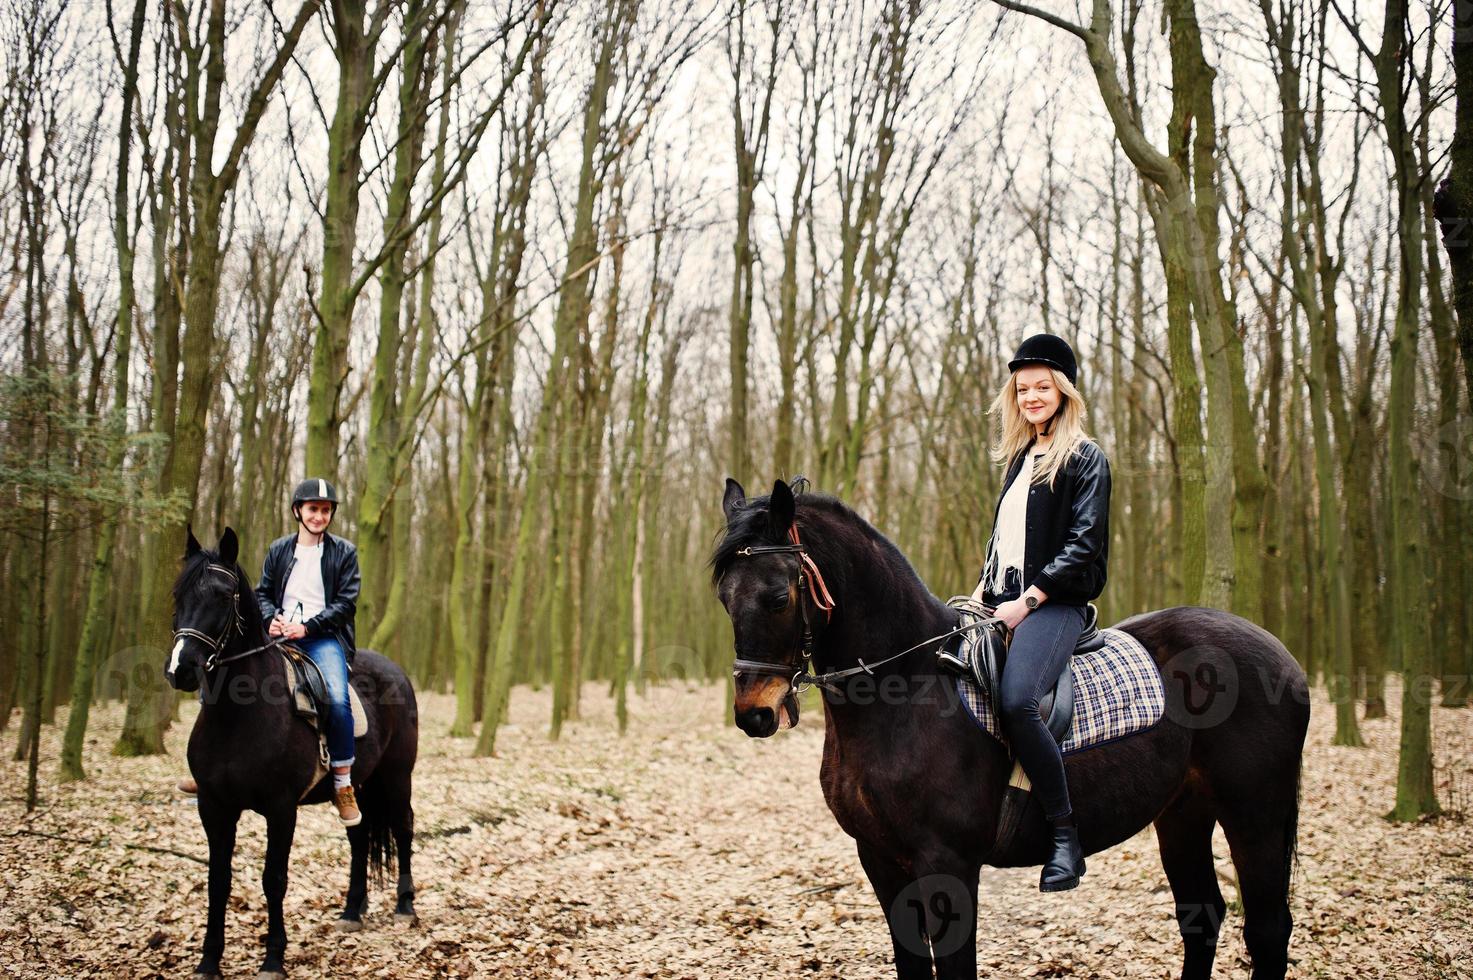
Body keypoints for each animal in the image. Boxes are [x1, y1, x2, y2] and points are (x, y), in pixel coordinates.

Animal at [167, 527, 421, 978]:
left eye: (222, 595)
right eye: (179, 594)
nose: (183, 669)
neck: (238, 716)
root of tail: (396, 671)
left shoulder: (281, 808)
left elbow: (274, 880)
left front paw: (273, 959)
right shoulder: (214, 806)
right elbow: (218, 880)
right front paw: (209, 960)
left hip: (396, 776)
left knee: (403, 828)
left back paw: (405, 907)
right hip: (356, 785)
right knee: (358, 836)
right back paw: (351, 912)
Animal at [715, 480, 1313, 978]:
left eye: (777, 596)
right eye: (724, 597)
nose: (753, 714)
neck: (908, 691)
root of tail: (1282, 654)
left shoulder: (950, 865)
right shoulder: (880, 860)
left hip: (1254, 813)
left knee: (1267, 929)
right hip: (1185, 812)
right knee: (1201, 918)